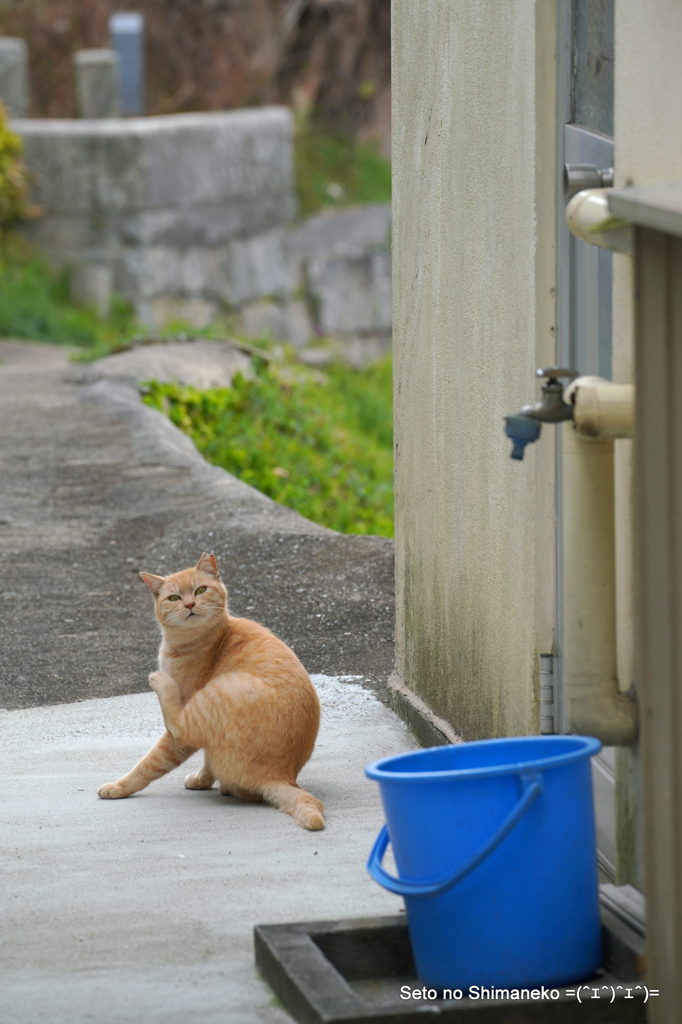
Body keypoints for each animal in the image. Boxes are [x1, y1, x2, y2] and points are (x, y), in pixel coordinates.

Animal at [98, 552, 323, 831]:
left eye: (200, 590)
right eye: (174, 598)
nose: (189, 604)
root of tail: (281, 776)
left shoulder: (187, 714)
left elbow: (150, 763)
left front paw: (119, 787)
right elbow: (207, 760)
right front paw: (201, 781)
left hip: (221, 689)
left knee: (179, 727)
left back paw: (159, 682)